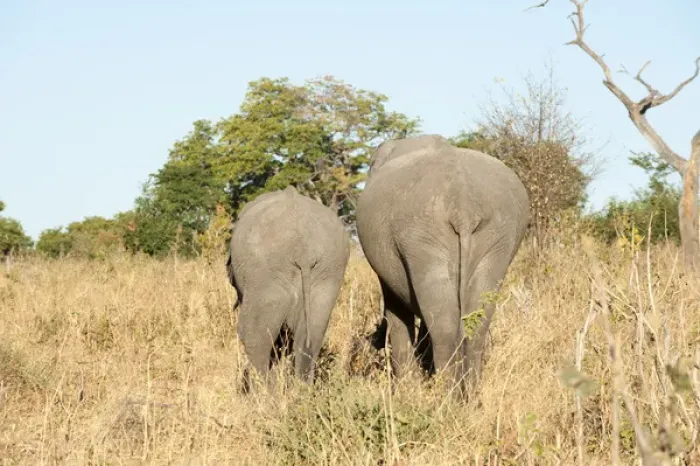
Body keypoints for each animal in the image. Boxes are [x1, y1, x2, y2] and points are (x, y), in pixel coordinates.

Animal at [226, 185, 350, 388]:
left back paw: (265, 392)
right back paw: (301, 391)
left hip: (266, 275)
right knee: (311, 336)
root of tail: (303, 249)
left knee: (254, 336)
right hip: (329, 271)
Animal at [356, 134, 530, 397]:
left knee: (444, 326)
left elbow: (396, 310)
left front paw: (408, 392)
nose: (372, 341)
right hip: (499, 235)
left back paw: (447, 398)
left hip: (422, 233)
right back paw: (470, 398)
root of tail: (464, 200)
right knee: (475, 322)